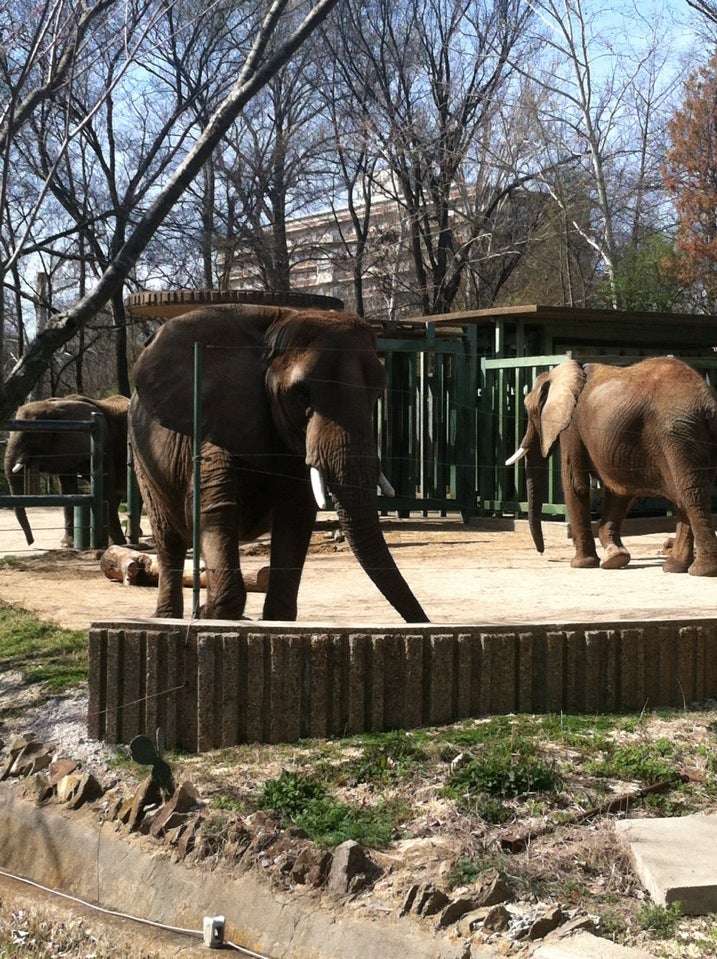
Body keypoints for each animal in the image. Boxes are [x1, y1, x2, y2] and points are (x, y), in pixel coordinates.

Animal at [5, 394, 131, 548]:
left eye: (32, 438)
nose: (31, 542)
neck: (56, 404)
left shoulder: (105, 444)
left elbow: (106, 489)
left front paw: (119, 544)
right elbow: (68, 490)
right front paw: (67, 544)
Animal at [128, 304, 428, 628]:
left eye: (377, 394)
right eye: (301, 394)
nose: (423, 622)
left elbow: (295, 516)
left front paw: (266, 621)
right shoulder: (217, 416)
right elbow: (217, 509)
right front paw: (214, 617)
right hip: (141, 455)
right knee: (168, 538)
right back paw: (167, 617)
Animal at [506, 356, 716, 572]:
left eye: (530, 412)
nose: (541, 552)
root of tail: (707, 404)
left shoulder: (572, 425)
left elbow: (575, 483)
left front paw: (582, 564)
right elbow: (619, 491)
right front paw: (615, 558)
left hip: (676, 437)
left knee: (687, 495)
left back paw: (699, 570)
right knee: (687, 495)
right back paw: (675, 567)